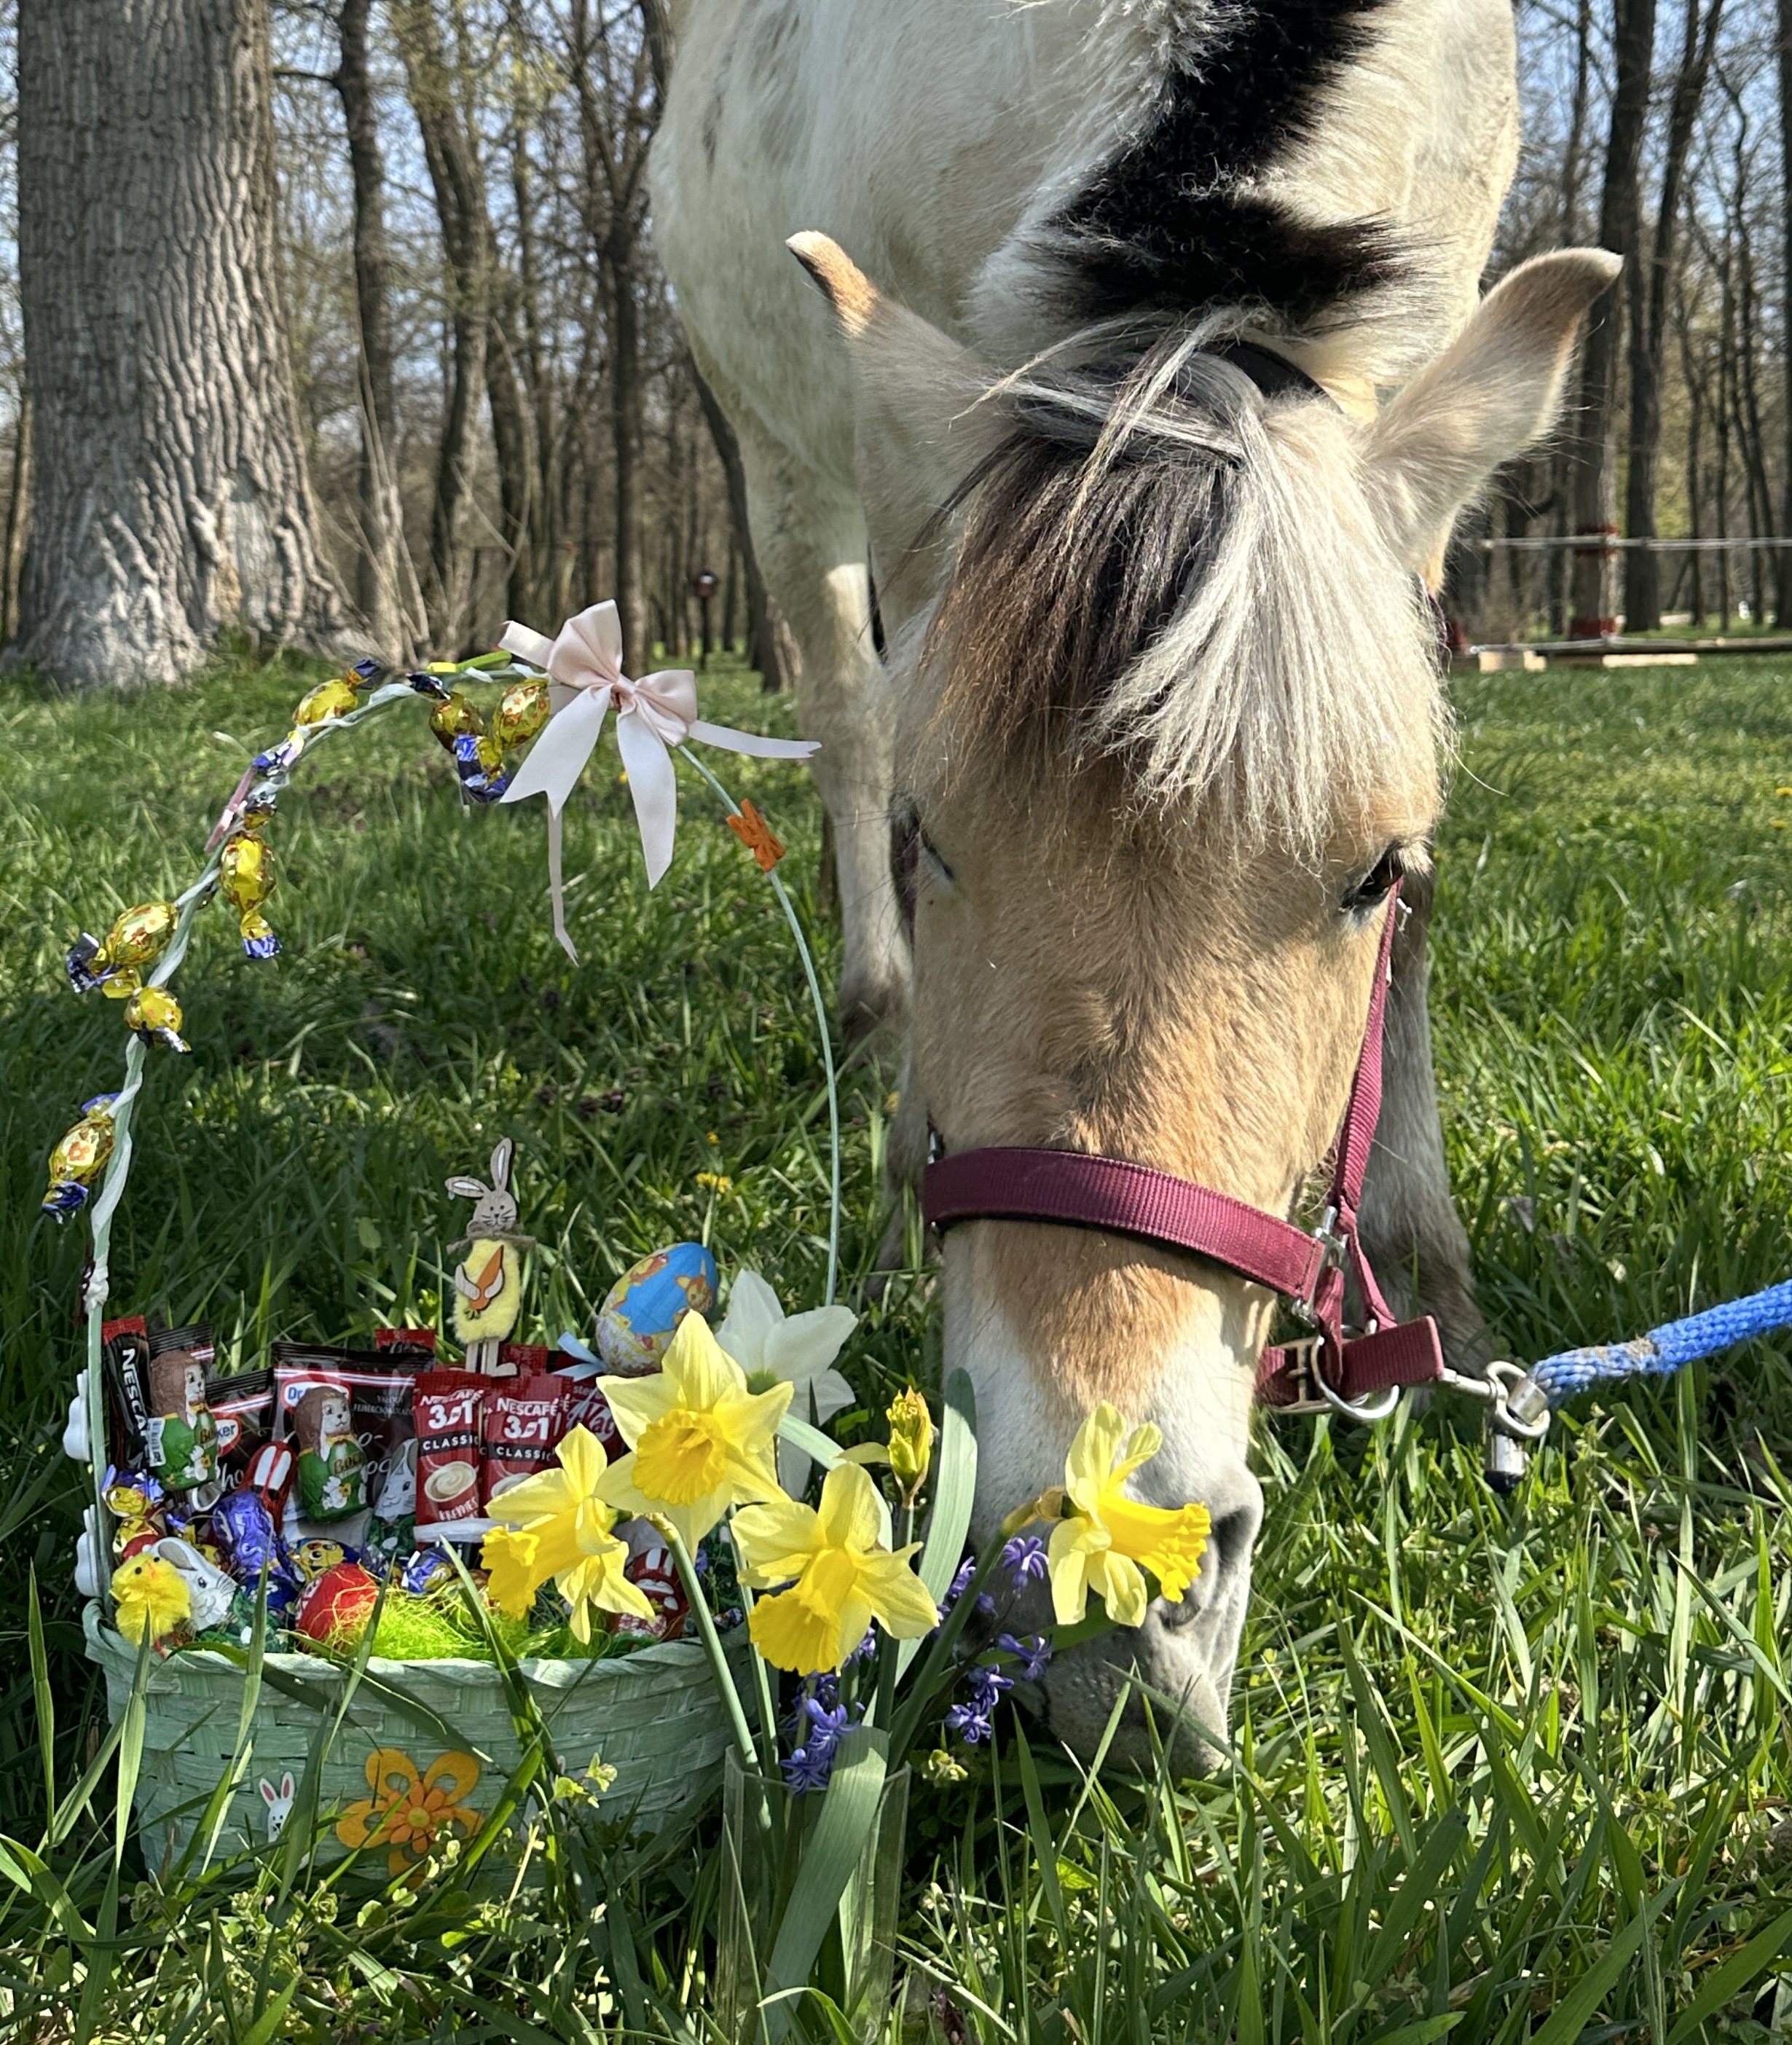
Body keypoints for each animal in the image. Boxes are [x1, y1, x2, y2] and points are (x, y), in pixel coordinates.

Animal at [651, 0, 1616, 1760]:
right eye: (937, 840)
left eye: (1376, 869)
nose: (1086, 1575)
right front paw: (897, 1203)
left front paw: (1434, 1284)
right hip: (779, 462)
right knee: (840, 710)